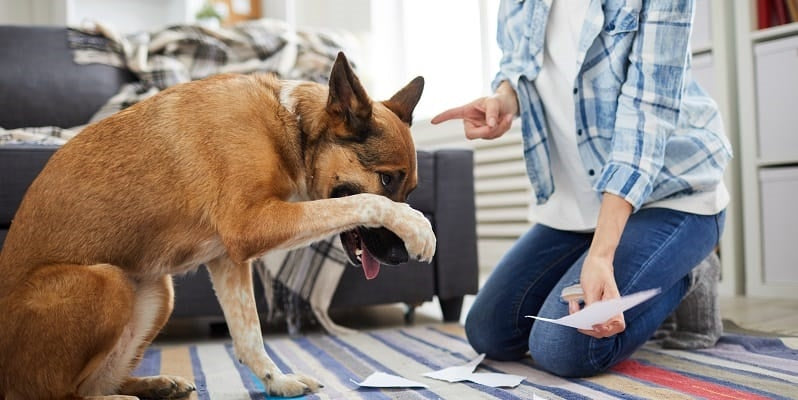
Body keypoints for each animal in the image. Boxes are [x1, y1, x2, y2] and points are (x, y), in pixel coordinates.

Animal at [0, 52, 438, 396]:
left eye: (411, 188)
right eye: (387, 180)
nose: (399, 258)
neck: (292, 126)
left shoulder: (229, 260)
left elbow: (249, 334)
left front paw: (277, 381)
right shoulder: (249, 226)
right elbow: (360, 201)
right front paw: (417, 226)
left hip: (159, 291)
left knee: (97, 382)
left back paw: (155, 385)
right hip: (107, 281)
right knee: (60, 392)